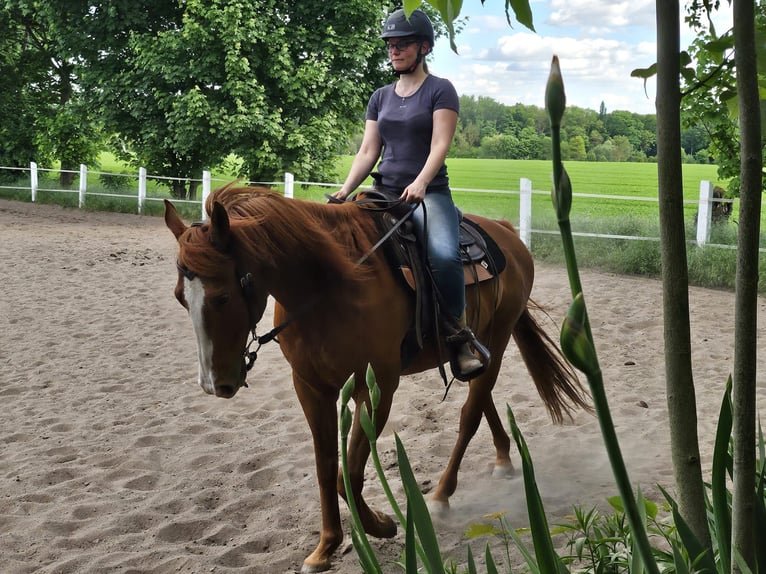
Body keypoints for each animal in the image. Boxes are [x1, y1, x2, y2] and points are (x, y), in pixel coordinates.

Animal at [164, 183, 590, 573]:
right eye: (180, 297)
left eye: (222, 297)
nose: (214, 384)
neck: (330, 284)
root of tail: (505, 234)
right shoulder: (311, 388)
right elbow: (325, 468)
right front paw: (326, 547)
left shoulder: (378, 386)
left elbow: (347, 473)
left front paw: (381, 525)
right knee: (480, 396)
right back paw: (503, 459)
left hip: (498, 341)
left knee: (470, 414)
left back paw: (440, 496)